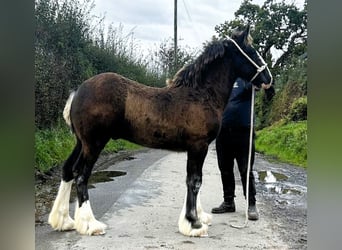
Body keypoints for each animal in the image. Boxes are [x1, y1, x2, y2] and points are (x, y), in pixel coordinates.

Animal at [48, 25, 272, 236]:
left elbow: (193, 180)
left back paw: (64, 221)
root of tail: (78, 92)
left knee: (68, 170)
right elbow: (195, 182)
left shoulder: (196, 149)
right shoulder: (198, 146)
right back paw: (90, 224)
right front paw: (194, 224)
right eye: (252, 51)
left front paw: (196, 218)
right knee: (81, 175)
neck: (200, 94)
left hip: (81, 143)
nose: (268, 79)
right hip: (94, 143)